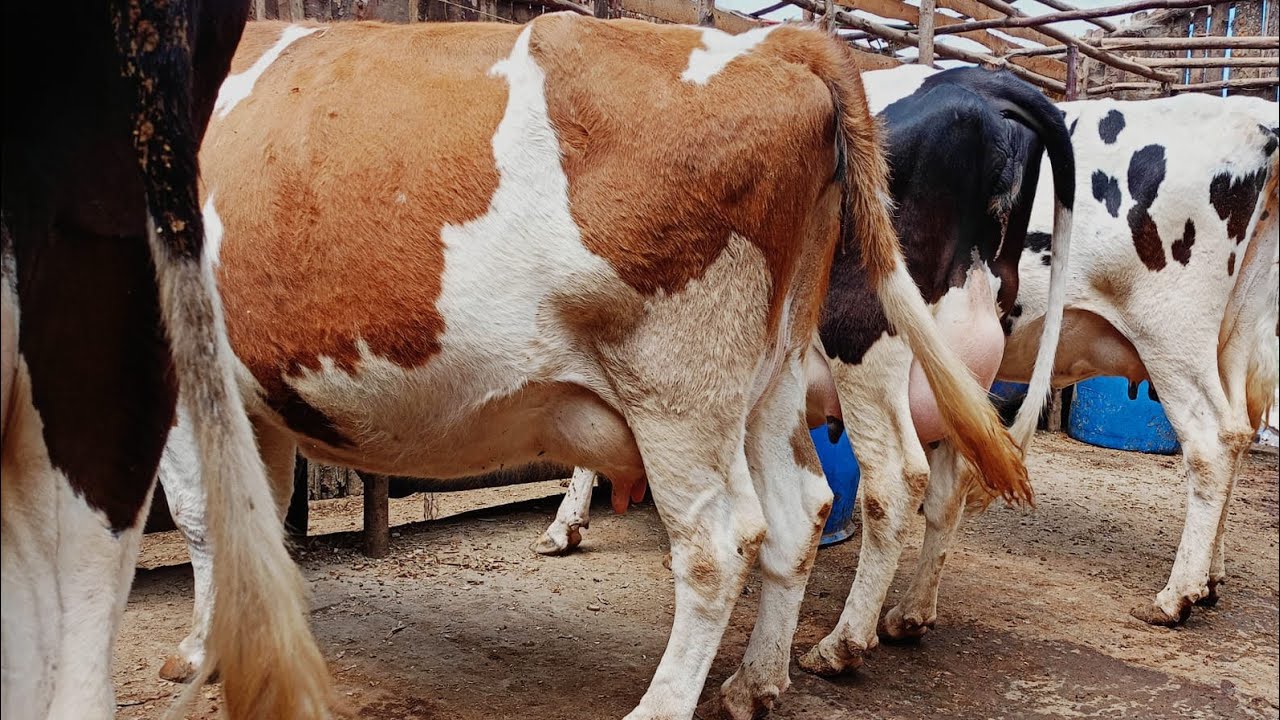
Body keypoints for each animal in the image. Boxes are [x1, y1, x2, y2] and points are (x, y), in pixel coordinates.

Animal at [144, 17, 1031, 719]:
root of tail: (781, 43)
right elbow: (253, 516)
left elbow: (204, 516)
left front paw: (198, 654)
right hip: (769, 380)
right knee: (805, 507)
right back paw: (758, 681)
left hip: (686, 387)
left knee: (736, 536)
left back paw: (691, 696)